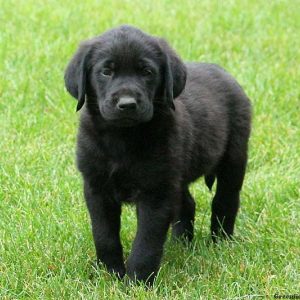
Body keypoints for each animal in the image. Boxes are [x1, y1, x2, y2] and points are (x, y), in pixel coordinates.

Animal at [64, 25, 252, 284]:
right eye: (106, 71)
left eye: (147, 72)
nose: (127, 104)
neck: (123, 138)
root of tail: (224, 72)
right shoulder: (96, 187)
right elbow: (104, 235)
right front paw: (111, 273)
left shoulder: (156, 192)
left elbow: (147, 241)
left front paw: (137, 282)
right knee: (187, 203)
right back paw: (181, 244)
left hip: (233, 157)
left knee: (225, 200)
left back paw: (220, 242)